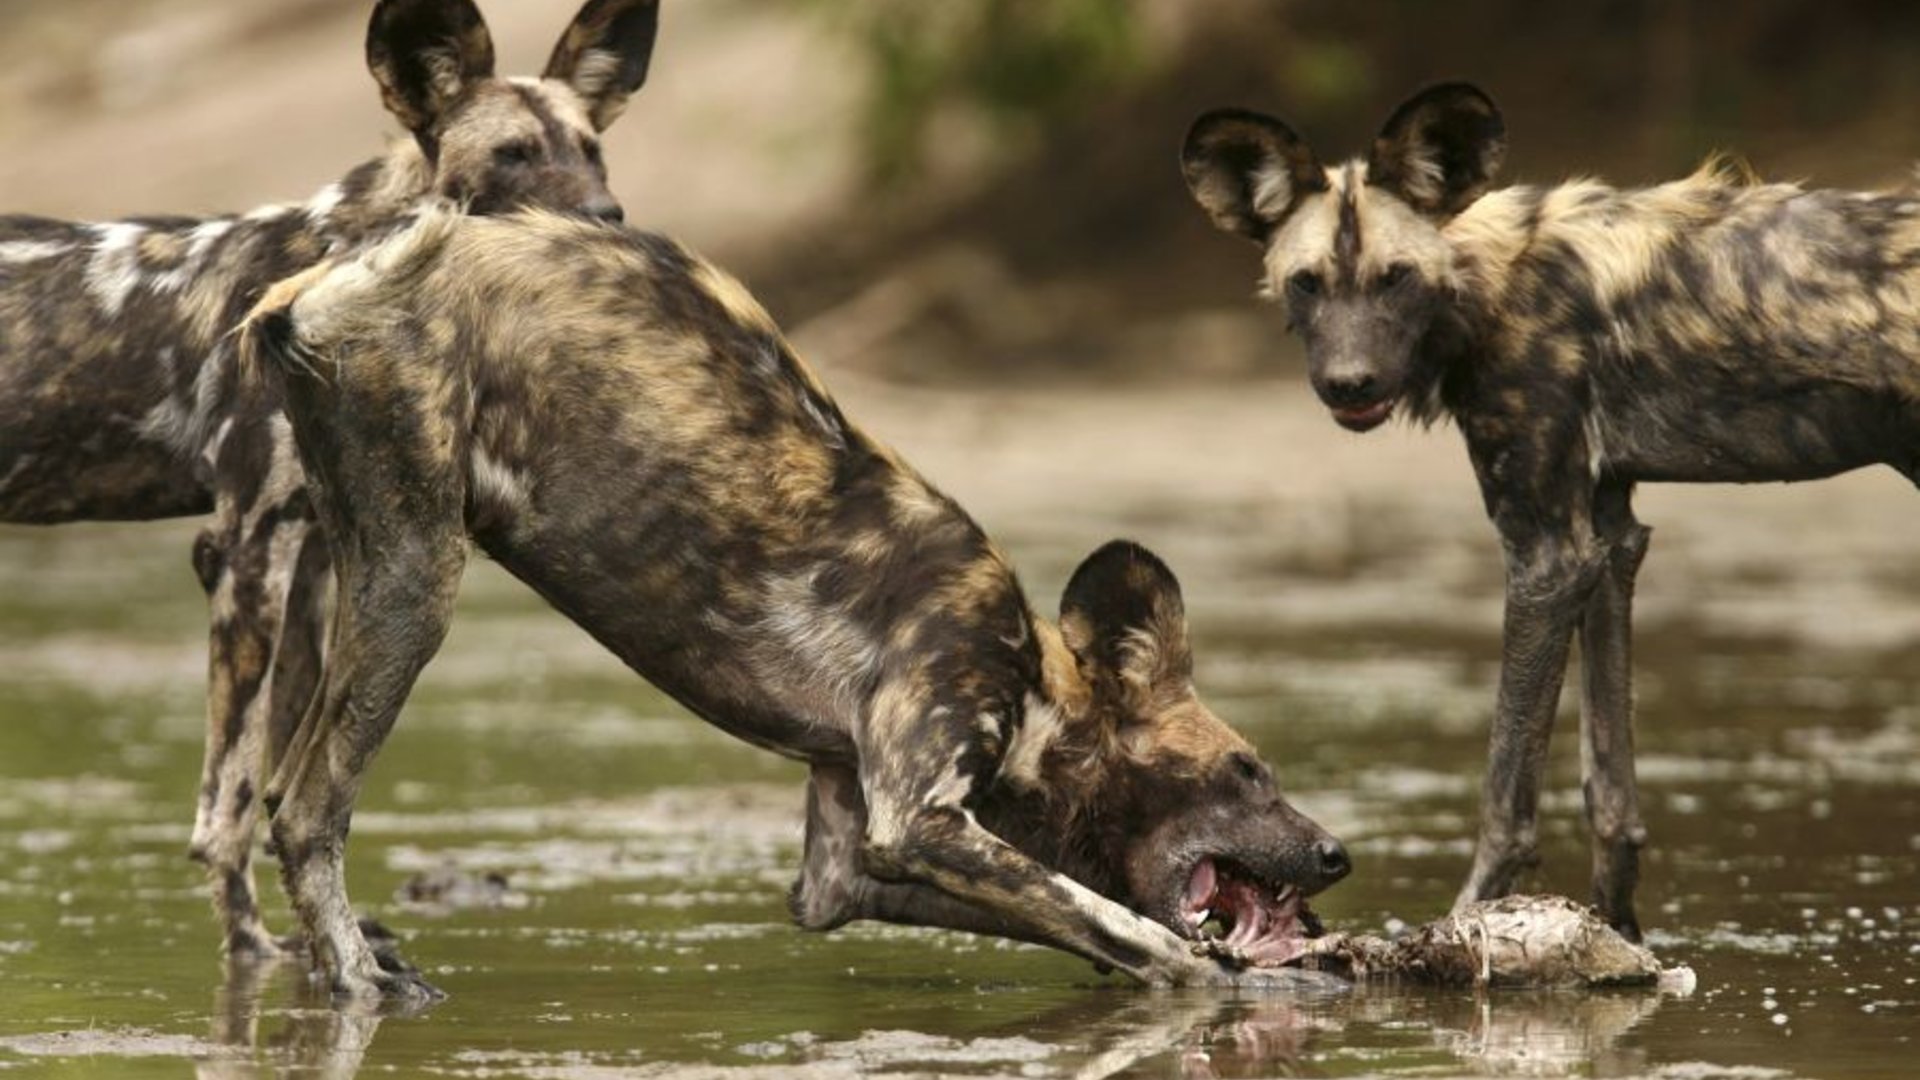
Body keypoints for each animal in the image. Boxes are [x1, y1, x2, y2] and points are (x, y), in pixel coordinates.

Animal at [0, 2, 660, 957]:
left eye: (591, 147)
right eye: (512, 155)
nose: (608, 216)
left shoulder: (312, 559)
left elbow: (284, 775)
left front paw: (308, 951)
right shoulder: (245, 551)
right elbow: (231, 806)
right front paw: (258, 951)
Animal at [240, 205, 1351, 999]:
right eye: (1247, 772)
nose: (1336, 854)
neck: (1037, 687)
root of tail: (328, 275)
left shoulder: (847, 859)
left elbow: (1074, 915)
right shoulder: (920, 820)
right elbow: (1128, 927)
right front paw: (1223, 979)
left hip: (350, 580)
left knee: (274, 798)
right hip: (415, 589)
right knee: (308, 810)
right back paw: (361, 989)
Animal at [1175, 84, 1920, 937]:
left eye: (1397, 278)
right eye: (1307, 282)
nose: (1350, 383)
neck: (1485, 282)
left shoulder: (1546, 556)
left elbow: (1508, 792)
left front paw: (1461, 923)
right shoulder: (1608, 534)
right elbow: (1611, 792)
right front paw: (1620, 934)